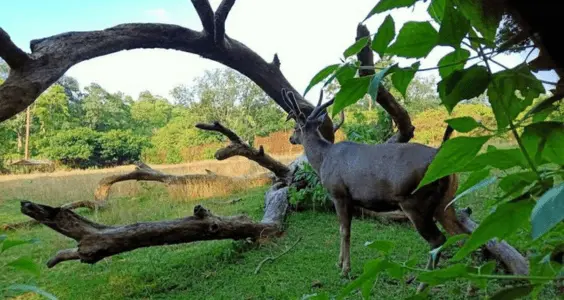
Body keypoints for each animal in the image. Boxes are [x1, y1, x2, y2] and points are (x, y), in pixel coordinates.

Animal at [282, 87, 468, 288]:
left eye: (295, 127)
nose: (290, 138)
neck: (323, 160)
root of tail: (438, 153)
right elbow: (342, 229)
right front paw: (339, 262)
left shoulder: (339, 193)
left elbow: (344, 231)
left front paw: (345, 269)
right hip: (446, 201)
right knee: (465, 234)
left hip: (415, 201)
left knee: (438, 239)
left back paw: (422, 284)